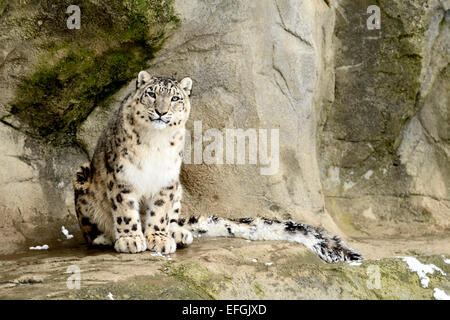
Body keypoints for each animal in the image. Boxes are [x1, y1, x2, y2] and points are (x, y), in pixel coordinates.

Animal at [74, 71, 362, 264]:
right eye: (152, 94)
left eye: (175, 97)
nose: (161, 112)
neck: (155, 142)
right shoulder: (123, 176)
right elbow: (125, 211)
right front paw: (131, 239)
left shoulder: (167, 181)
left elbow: (159, 213)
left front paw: (158, 238)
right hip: (83, 177)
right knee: (90, 230)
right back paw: (106, 237)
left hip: (178, 189)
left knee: (175, 218)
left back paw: (179, 234)